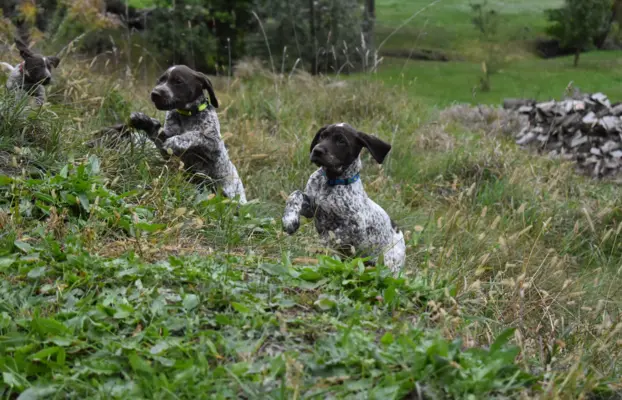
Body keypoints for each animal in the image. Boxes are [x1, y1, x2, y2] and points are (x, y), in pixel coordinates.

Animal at [130, 66, 247, 203]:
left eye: (178, 81)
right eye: (160, 80)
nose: (155, 93)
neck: (186, 115)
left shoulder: (213, 143)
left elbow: (195, 134)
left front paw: (176, 141)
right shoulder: (166, 149)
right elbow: (155, 129)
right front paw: (142, 119)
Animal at [284, 123, 410, 274]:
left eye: (341, 141)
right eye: (322, 136)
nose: (317, 150)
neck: (331, 181)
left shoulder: (356, 228)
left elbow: (335, 235)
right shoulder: (312, 209)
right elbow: (295, 194)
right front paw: (289, 220)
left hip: (387, 265)